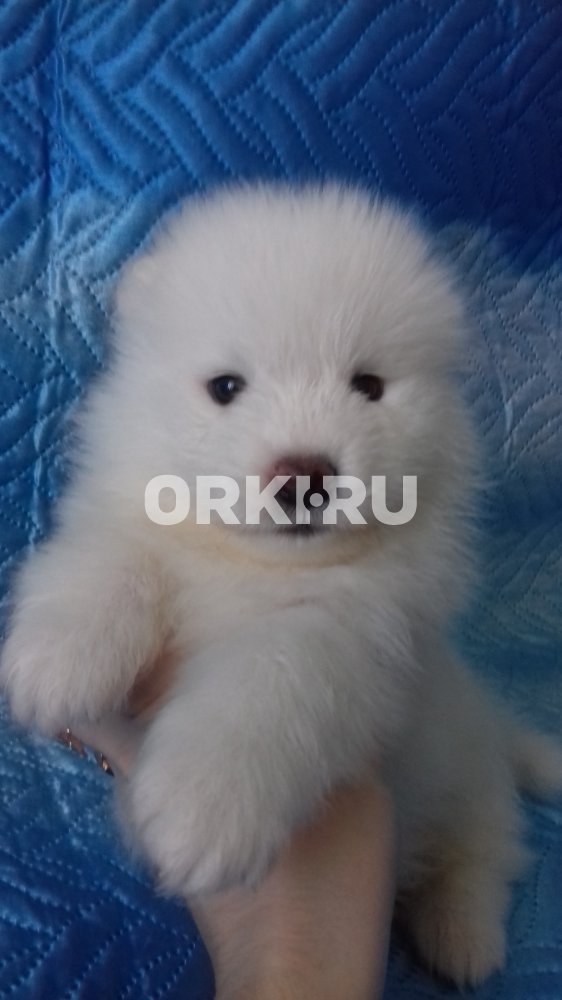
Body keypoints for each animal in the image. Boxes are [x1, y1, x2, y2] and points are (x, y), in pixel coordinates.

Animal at [2, 184, 561, 985]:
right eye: (226, 388)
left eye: (368, 385)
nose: (304, 475)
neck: (254, 568)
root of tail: (495, 725)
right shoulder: (132, 515)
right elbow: (114, 557)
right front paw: (59, 657)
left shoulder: (357, 633)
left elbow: (270, 681)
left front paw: (204, 805)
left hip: (466, 775)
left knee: (483, 851)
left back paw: (462, 935)